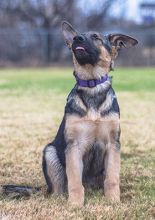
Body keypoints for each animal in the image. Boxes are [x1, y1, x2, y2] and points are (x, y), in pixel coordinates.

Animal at [42, 21, 138, 206]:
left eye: (96, 37)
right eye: (76, 37)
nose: (76, 39)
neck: (92, 85)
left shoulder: (113, 144)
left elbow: (112, 178)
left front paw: (113, 201)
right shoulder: (74, 146)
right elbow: (74, 180)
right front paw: (75, 204)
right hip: (50, 152)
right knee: (58, 188)